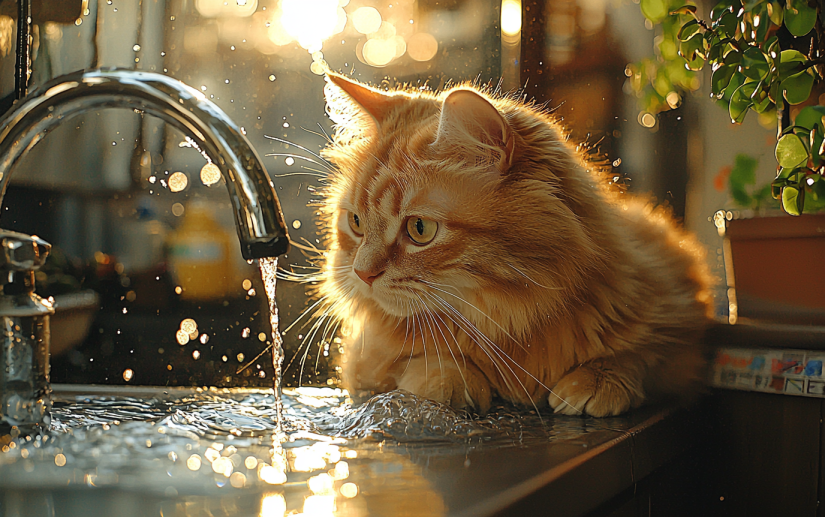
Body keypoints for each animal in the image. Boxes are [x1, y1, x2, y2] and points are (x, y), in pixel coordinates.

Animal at [316, 72, 716, 416]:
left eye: (419, 229)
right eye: (356, 223)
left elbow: (643, 353)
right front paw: (451, 380)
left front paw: (597, 379)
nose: (363, 274)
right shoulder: (362, 362)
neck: (510, 317)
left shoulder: (680, 317)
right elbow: (424, 360)